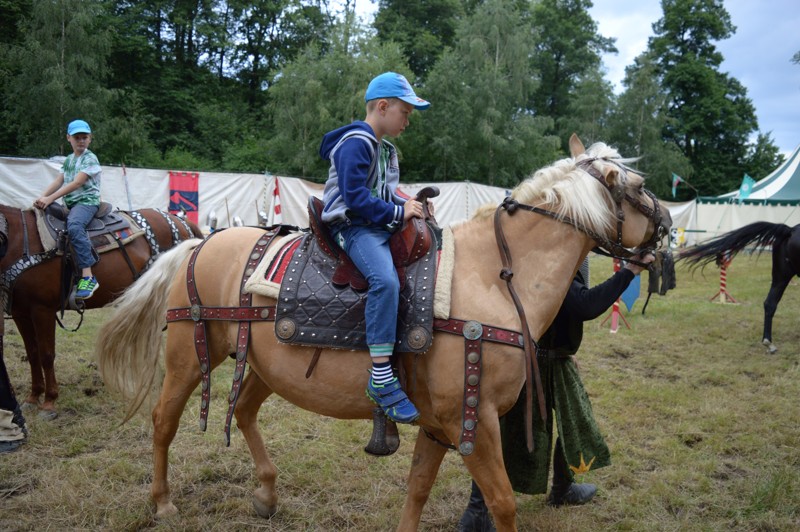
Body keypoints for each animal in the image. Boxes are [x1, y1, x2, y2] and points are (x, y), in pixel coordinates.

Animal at [0, 203, 203, 416]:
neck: (21, 240)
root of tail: (182, 222)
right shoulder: (21, 313)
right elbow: (32, 354)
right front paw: (33, 397)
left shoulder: (42, 310)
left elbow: (46, 355)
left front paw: (49, 402)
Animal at [97, 135, 672, 528]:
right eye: (642, 187)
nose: (667, 228)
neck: (493, 275)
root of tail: (195, 243)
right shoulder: (473, 420)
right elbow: (503, 503)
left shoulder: (440, 424)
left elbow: (416, 490)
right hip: (187, 357)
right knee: (164, 421)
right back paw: (164, 502)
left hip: (262, 365)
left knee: (243, 412)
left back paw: (266, 494)